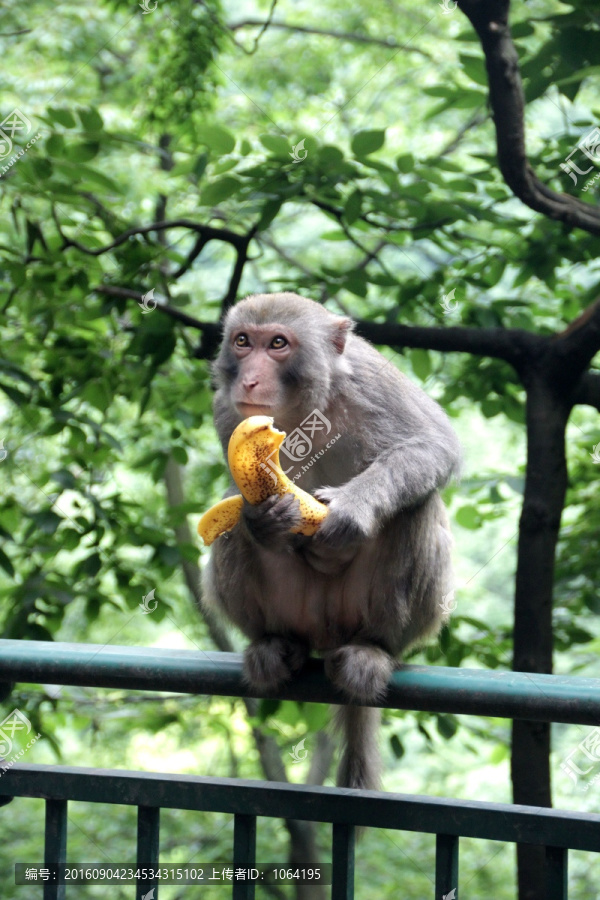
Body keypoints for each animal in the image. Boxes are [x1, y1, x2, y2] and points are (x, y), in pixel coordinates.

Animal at [202, 292, 460, 792]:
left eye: (277, 343)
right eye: (242, 341)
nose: (250, 377)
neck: (301, 408)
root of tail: (329, 635)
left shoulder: (371, 378)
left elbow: (434, 446)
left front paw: (352, 510)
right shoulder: (227, 410)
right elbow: (242, 494)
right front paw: (265, 520)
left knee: (416, 506)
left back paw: (373, 650)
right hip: (296, 608)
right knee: (230, 521)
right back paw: (274, 645)